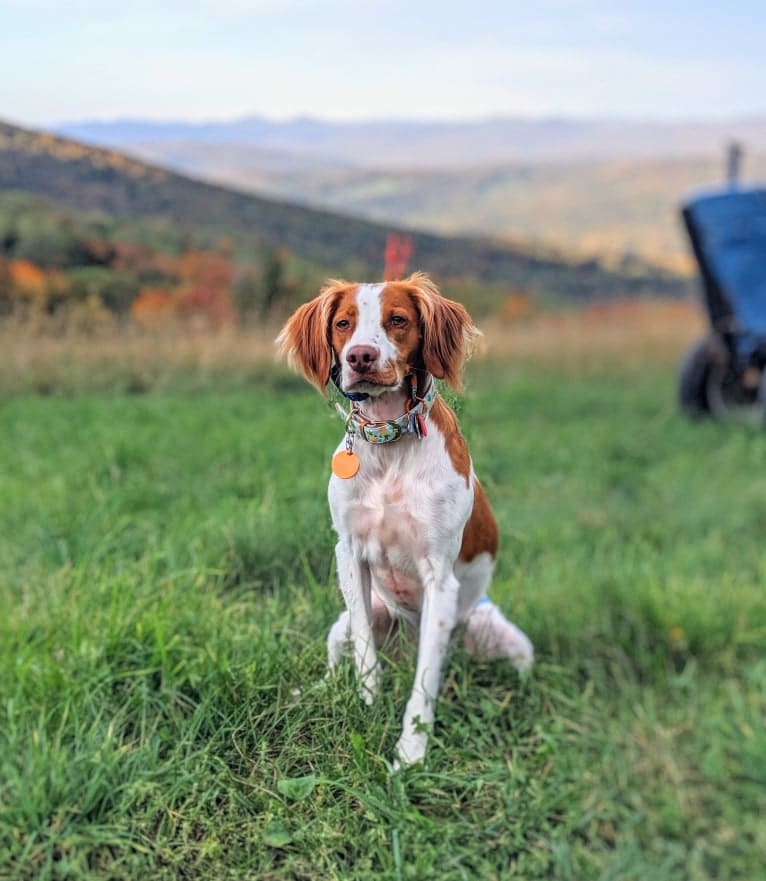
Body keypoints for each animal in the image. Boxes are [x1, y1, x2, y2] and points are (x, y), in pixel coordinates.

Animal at [278, 272, 536, 768]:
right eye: (342, 323)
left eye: (397, 320)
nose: (360, 356)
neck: (388, 445)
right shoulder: (349, 554)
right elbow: (364, 653)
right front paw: (366, 704)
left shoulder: (440, 579)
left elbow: (425, 682)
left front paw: (411, 754)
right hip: (344, 625)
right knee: (337, 663)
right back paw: (312, 694)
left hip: (502, 638)